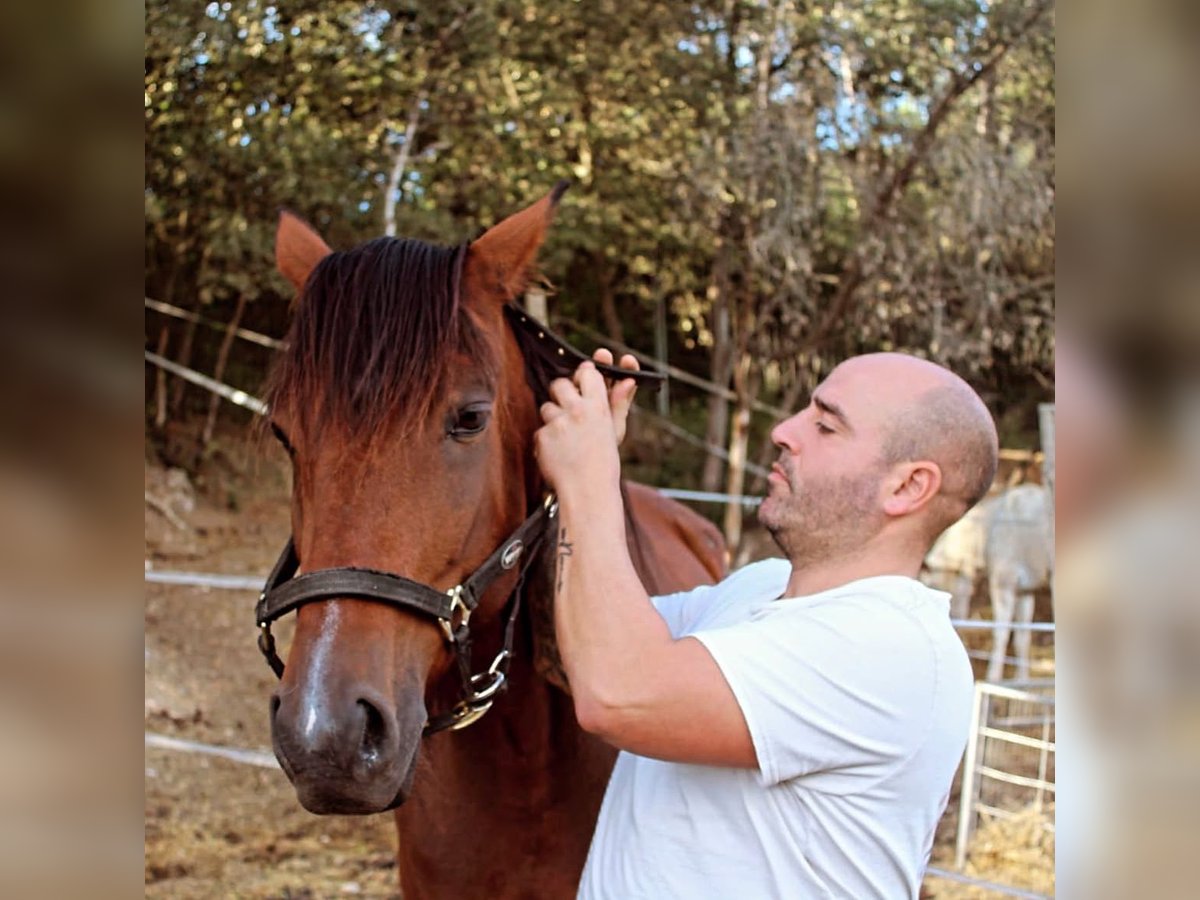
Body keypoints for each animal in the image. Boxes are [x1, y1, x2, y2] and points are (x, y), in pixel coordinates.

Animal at [921, 487, 1056, 681]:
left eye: (935, 589)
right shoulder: (1024, 590)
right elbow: (1023, 636)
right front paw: (1022, 678)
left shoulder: (1003, 583)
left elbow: (1001, 632)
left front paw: (994, 677)